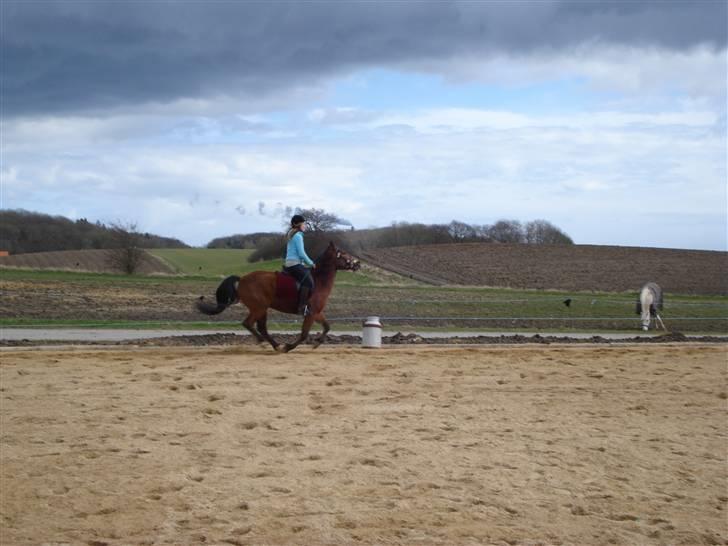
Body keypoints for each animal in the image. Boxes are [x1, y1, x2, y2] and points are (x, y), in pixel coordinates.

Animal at [196, 241, 362, 350]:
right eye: (343, 254)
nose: (358, 264)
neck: (318, 280)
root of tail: (242, 279)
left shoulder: (316, 312)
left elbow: (327, 326)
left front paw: (317, 342)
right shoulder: (311, 313)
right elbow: (304, 334)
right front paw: (289, 346)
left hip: (261, 309)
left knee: (260, 327)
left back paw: (274, 344)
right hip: (259, 308)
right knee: (249, 324)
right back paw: (268, 343)